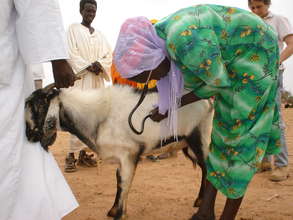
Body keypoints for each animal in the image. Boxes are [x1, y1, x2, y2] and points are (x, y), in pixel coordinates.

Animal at [25, 85, 212, 220]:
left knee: (209, 169)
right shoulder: (122, 158)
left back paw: (202, 204)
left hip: (200, 139)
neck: (99, 117)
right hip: (187, 145)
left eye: (40, 105)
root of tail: (208, 101)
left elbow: (124, 182)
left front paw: (120, 214)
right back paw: (200, 201)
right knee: (204, 169)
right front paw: (115, 210)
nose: (29, 135)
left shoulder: (129, 154)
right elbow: (119, 180)